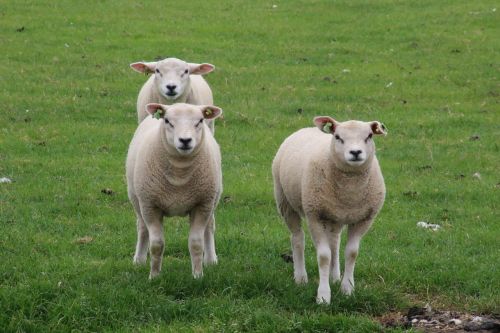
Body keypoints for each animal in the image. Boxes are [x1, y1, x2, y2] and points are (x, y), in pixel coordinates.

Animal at [127, 101, 223, 278]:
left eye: (200, 121)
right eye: (167, 121)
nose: (185, 140)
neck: (180, 175)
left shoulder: (202, 204)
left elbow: (196, 243)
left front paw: (198, 276)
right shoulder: (150, 205)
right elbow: (156, 245)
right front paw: (154, 276)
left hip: (214, 198)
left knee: (209, 227)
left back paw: (211, 260)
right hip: (136, 199)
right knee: (142, 228)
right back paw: (139, 260)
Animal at [272, 115, 388, 302]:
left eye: (369, 136)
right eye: (338, 137)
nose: (355, 152)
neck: (350, 191)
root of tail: (307, 128)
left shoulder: (364, 219)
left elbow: (351, 253)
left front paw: (347, 289)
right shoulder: (315, 216)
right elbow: (324, 256)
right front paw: (323, 296)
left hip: (335, 215)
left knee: (334, 242)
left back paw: (334, 277)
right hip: (285, 201)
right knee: (297, 238)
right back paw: (300, 277)